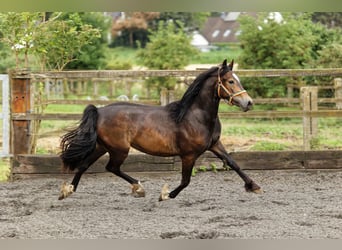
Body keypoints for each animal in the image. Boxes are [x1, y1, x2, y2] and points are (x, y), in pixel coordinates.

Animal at [58, 59, 262, 201]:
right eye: (230, 81)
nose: (248, 102)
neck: (196, 116)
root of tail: (99, 111)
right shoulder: (189, 155)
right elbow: (185, 181)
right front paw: (166, 195)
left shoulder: (215, 144)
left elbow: (234, 163)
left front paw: (254, 186)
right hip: (119, 149)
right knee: (111, 167)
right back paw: (139, 188)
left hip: (102, 146)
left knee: (84, 166)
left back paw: (67, 191)